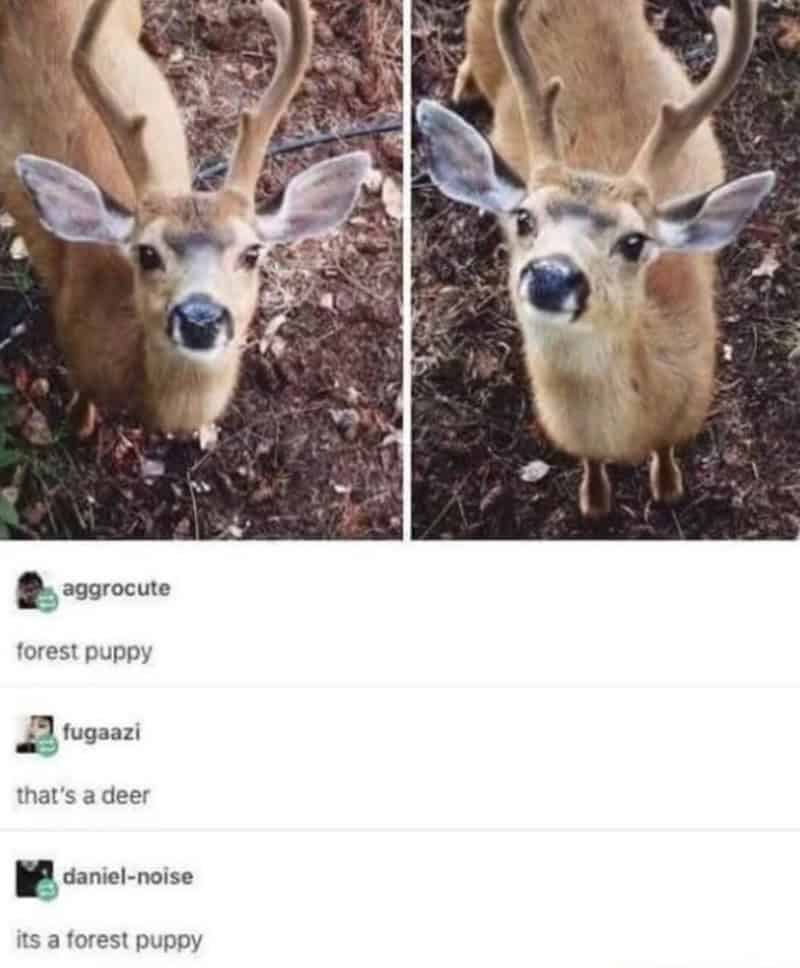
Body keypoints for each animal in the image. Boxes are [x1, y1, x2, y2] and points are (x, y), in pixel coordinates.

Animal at [417, 0, 774, 519]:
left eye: (634, 242)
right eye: (523, 218)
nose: (552, 276)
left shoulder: (687, 409)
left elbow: (666, 455)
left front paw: (668, 488)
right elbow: (591, 467)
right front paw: (595, 501)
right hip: (480, 28)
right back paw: (462, 87)